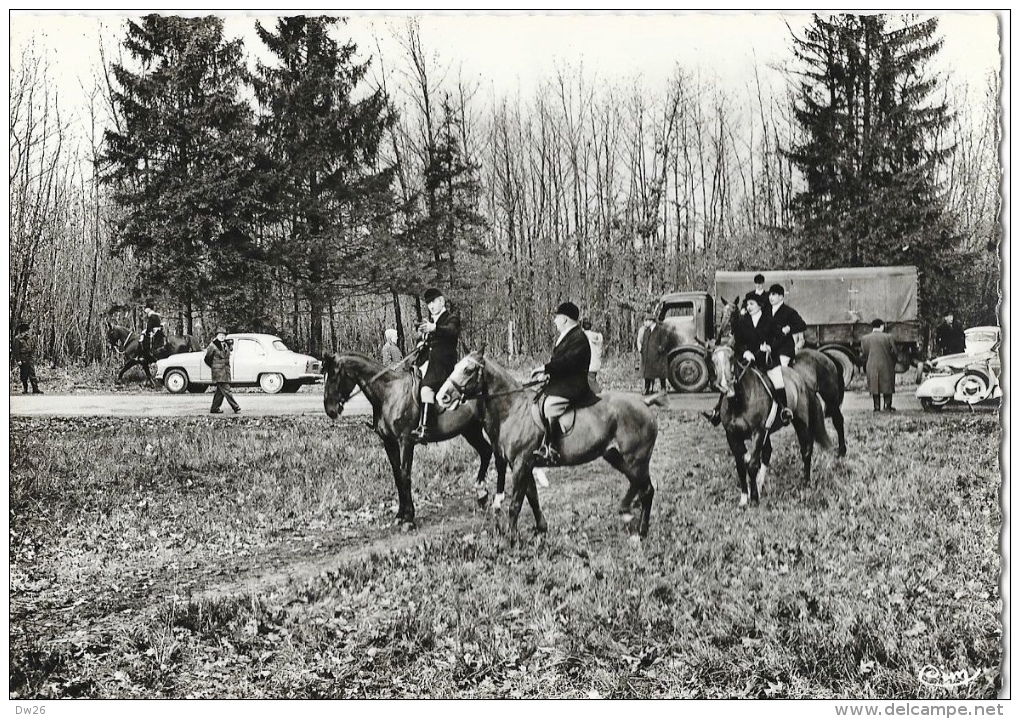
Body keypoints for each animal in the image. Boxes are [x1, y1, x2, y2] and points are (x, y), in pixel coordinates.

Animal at [320, 352, 507, 526]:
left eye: (334, 375)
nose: (330, 410)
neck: (389, 393)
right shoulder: (389, 443)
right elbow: (397, 475)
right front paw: (400, 514)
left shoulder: (405, 442)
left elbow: (405, 475)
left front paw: (409, 517)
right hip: (470, 430)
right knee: (485, 451)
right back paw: (481, 494)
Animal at [436, 346, 669, 542]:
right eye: (455, 367)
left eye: (468, 369)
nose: (442, 397)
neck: (513, 409)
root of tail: (643, 402)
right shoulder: (524, 465)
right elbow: (532, 497)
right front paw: (540, 528)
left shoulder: (521, 465)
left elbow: (516, 503)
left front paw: (511, 539)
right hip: (617, 457)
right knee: (637, 485)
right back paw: (626, 512)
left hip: (636, 459)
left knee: (647, 490)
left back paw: (641, 531)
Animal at [709, 342, 844, 505]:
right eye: (713, 361)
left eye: (732, 357)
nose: (725, 385)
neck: (738, 401)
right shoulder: (732, 435)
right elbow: (741, 465)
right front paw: (744, 498)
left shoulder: (758, 431)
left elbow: (752, 464)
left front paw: (754, 498)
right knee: (770, 452)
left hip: (812, 414)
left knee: (812, 444)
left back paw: (810, 479)